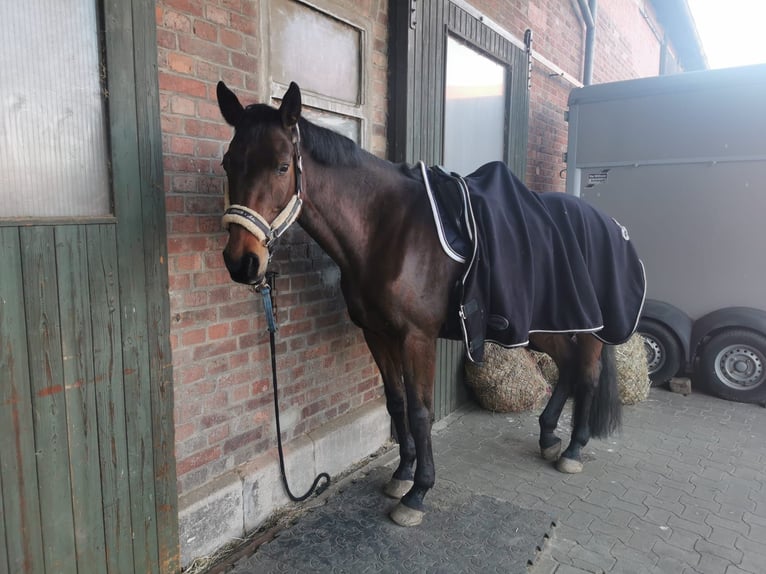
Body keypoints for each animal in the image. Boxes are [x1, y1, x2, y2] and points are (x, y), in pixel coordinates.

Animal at [216, 80, 643, 527]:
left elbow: (421, 412)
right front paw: (402, 474)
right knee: (568, 365)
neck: (386, 230)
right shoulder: (377, 333)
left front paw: (418, 492)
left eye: (283, 166)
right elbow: (396, 402)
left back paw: (574, 449)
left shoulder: (416, 337)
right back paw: (548, 437)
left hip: (590, 326)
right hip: (545, 324)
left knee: (587, 373)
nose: (242, 262)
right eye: (228, 163)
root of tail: (608, 222)